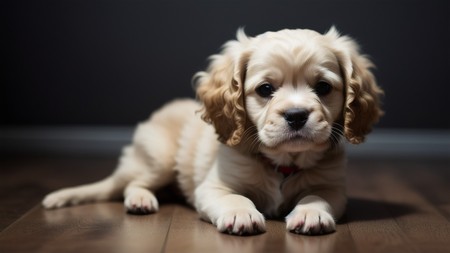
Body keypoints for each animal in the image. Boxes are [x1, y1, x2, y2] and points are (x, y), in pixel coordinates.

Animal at [42, 27, 382, 235]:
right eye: (265, 89)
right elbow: (235, 198)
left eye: (323, 87)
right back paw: (141, 200)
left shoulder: (332, 186)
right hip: (159, 158)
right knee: (131, 184)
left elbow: (317, 195)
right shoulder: (214, 186)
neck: (283, 163)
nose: (296, 116)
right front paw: (241, 214)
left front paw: (311, 213)